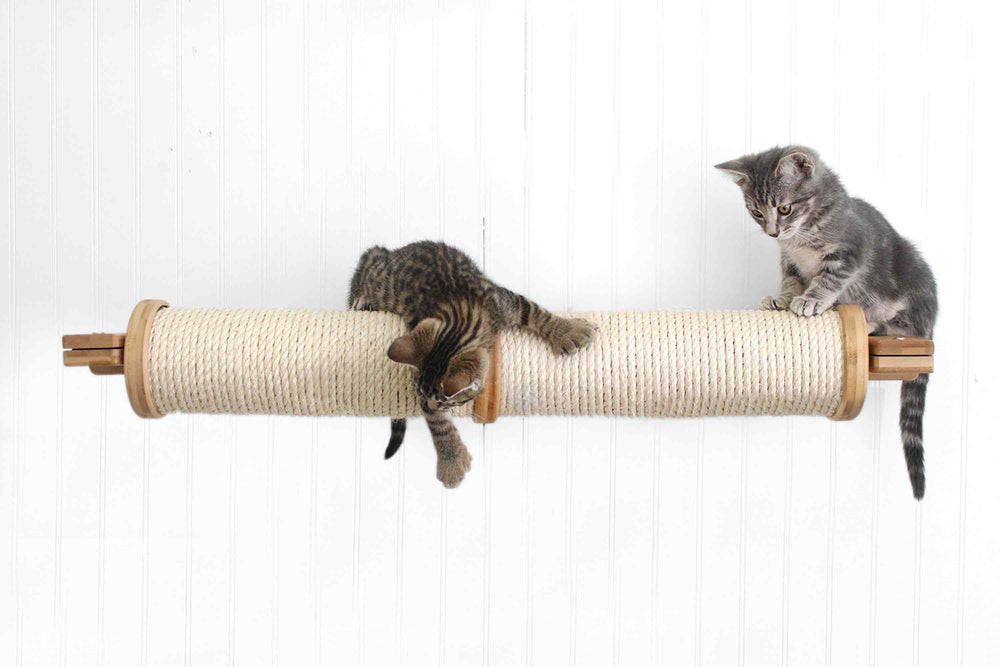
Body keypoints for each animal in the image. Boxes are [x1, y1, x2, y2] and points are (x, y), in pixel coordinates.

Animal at [348, 243, 596, 488]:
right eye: (421, 393)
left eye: (444, 400)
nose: (431, 405)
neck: (461, 312)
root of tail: (392, 251)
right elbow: (438, 423)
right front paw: (451, 459)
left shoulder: (504, 301)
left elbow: (535, 311)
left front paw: (567, 330)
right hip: (373, 265)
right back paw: (361, 301)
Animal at [720, 147, 936, 500]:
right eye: (756, 212)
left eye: (784, 208)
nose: (773, 232)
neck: (801, 237)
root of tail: (931, 316)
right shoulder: (790, 261)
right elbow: (791, 280)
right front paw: (782, 299)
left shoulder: (848, 252)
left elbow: (829, 279)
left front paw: (812, 300)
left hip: (910, 282)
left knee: (896, 321)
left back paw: (870, 319)